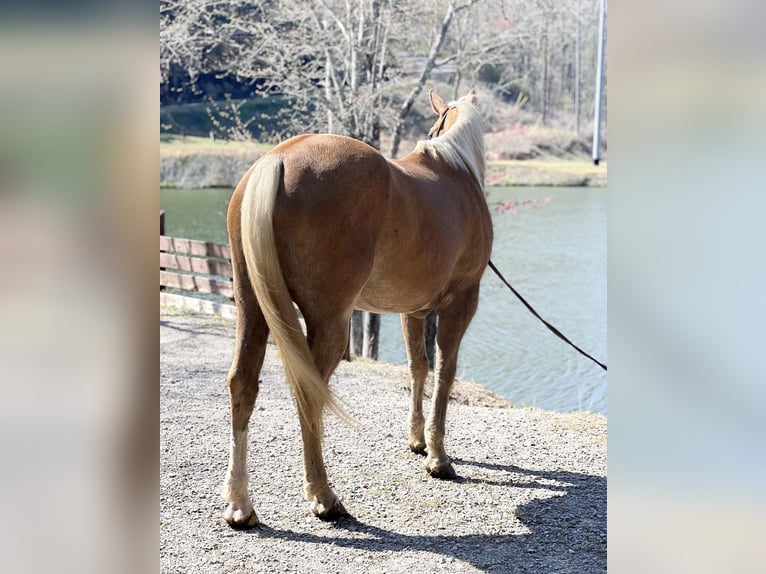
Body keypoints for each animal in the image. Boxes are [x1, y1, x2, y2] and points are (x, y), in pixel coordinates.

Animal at [222, 91, 496, 532]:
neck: (456, 172)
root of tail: (278, 158)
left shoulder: (412, 311)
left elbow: (418, 367)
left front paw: (417, 441)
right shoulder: (461, 301)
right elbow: (444, 372)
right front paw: (438, 457)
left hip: (252, 308)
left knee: (243, 385)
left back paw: (240, 504)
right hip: (330, 321)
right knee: (309, 393)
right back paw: (323, 496)